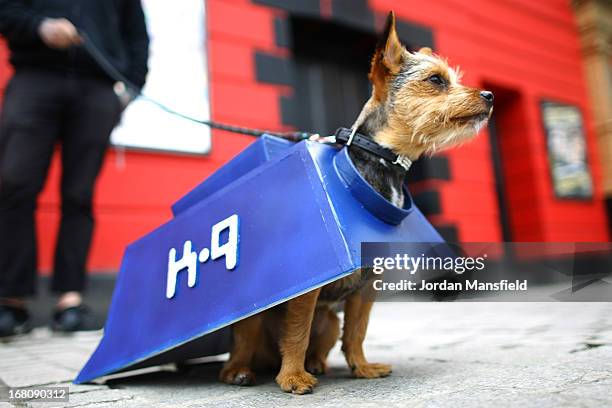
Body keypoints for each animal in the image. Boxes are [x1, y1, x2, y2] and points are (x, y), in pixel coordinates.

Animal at [219, 11, 492, 394]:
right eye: (436, 80)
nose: (490, 95)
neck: (384, 162)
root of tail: (264, 361)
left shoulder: (366, 287)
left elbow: (358, 332)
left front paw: (361, 367)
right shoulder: (308, 294)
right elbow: (297, 333)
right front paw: (292, 378)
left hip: (330, 321)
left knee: (328, 338)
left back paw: (317, 364)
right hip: (253, 321)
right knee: (240, 350)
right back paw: (241, 372)